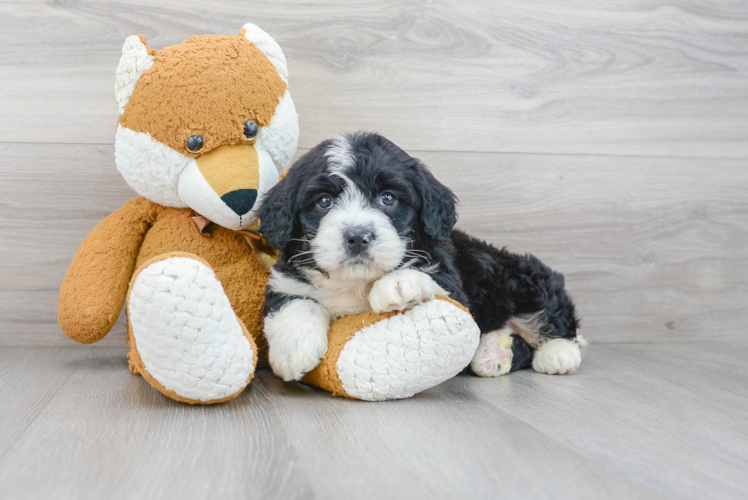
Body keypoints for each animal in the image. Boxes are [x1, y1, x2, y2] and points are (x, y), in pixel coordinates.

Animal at [260, 131, 580, 380]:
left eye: (388, 198)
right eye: (324, 202)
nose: (358, 237)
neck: (356, 282)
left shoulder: (454, 285)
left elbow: (429, 277)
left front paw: (398, 284)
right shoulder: (286, 280)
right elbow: (296, 303)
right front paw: (293, 350)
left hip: (520, 279)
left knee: (554, 315)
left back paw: (558, 354)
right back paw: (493, 353)